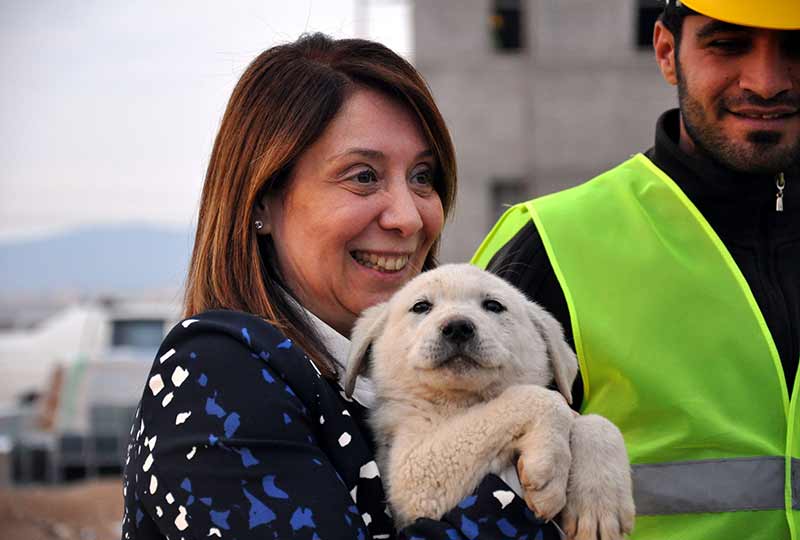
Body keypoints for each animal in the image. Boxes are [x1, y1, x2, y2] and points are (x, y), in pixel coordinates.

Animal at [344, 264, 636, 536]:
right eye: (421, 306)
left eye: (493, 305)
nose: (458, 327)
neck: (458, 402)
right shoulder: (411, 478)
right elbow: (541, 398)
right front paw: (547, 468)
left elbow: (597, 422)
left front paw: (600, 503)